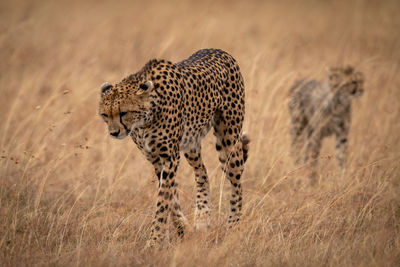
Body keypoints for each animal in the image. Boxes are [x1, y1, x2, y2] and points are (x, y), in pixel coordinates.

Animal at [98, 48, 248, 247]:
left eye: (123, 112)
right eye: (105, 115)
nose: (114, 133)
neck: (146, 118)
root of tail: (219, 50)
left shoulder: (169, 157)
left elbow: (163, 200)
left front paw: (154, 241)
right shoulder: (156, 159)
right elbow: (171, 197)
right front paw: (182, 228)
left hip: (228, 141)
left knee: (236, 182)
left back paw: (233, 226)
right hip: (191, 145)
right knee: (202, 172)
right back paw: (202, 218)